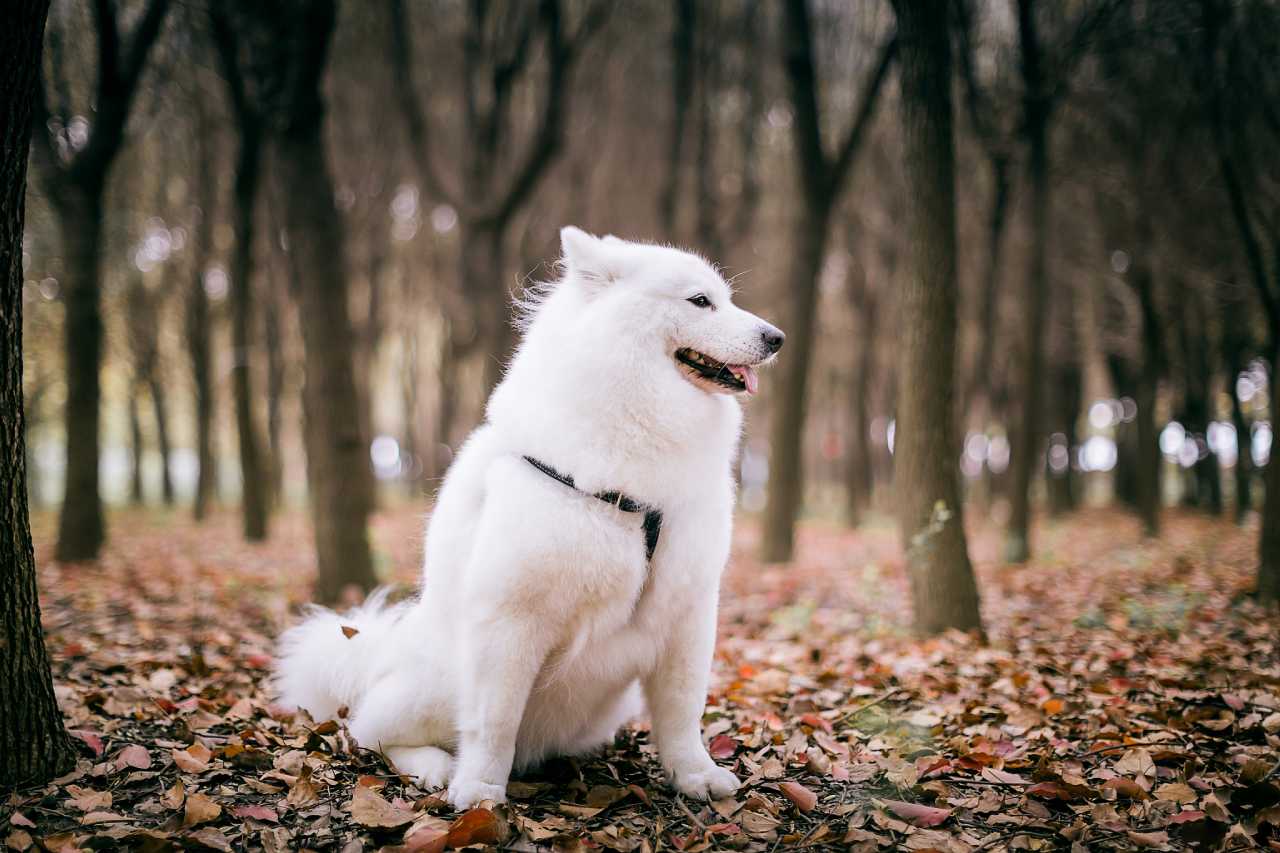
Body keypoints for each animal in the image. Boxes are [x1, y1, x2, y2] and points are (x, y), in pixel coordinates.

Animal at [275, 224, 783, 804]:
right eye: (701, 301)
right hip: (437, 681)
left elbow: (682, 711)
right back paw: (434, 766)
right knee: (370, 732)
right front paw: (479, 793)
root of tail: (377, 654)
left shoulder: (689, 613)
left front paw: (695, 775)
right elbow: (493, 721)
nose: (777, 337)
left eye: (727, 298)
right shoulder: (509, 619)